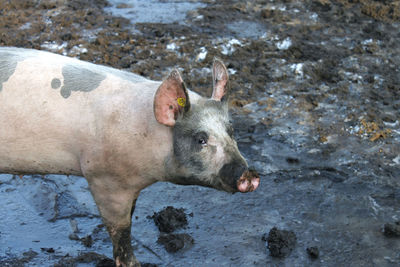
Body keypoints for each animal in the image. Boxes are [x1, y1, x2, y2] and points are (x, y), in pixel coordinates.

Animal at [0, 47, 260, 266]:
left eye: (231, 130)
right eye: (201, 139)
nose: (248, 173)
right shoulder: (105, 178)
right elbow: (121, 229)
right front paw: (134, 263)